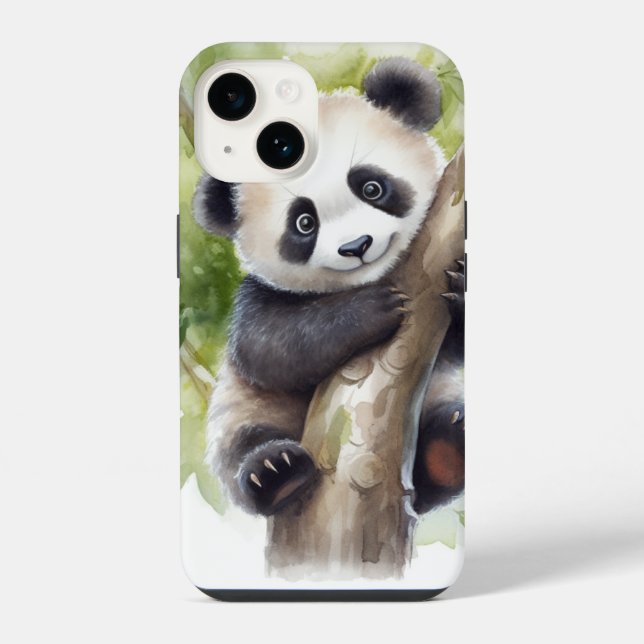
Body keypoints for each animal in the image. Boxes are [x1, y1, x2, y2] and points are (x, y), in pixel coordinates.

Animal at [192, 57, 464, 517]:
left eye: (371, 187)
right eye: (305, 222)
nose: (357, 247)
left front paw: (462, 290)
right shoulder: (259, 296)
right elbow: (270, 349)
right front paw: (373, 310)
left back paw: (448, 448)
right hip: (245, 409)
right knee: (243, 442)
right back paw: (274, 472)